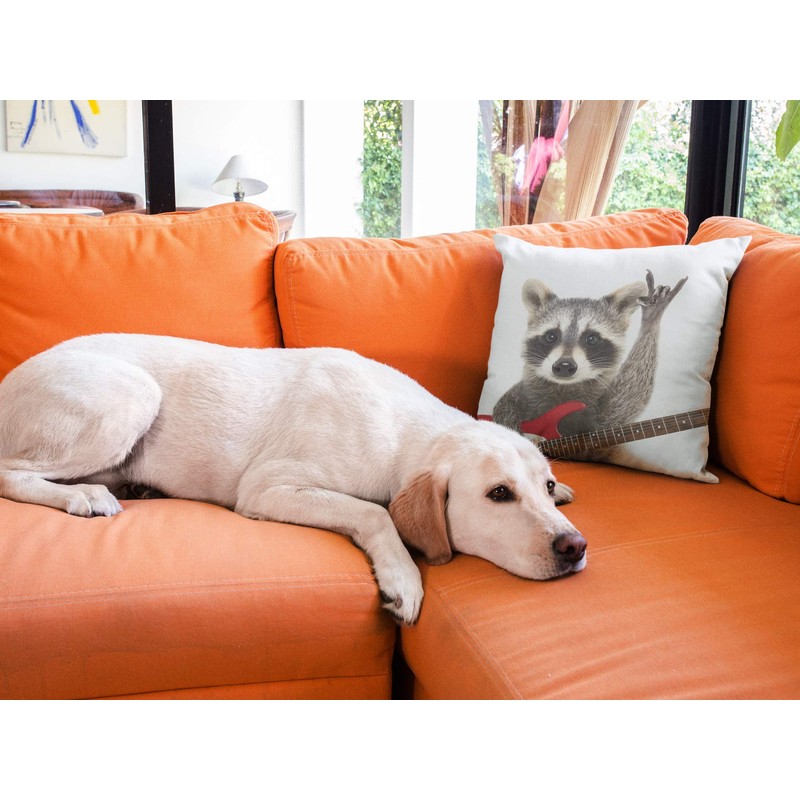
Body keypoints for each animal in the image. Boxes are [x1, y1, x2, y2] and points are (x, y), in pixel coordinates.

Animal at [493, 270, 687, 445]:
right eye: (551, 336)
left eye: (592, 339)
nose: (564, 366)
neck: (565, 388)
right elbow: (503, 410)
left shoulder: (597, 418)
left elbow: (622, 405)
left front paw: (651, 319)